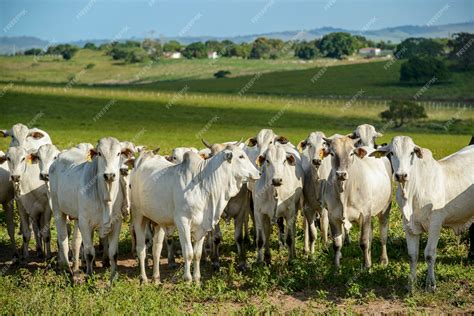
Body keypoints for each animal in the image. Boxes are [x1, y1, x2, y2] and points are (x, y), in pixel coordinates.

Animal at [49, 137, 133, 280]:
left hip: (77, 218)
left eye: (118, 153)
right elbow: (89, 253)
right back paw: (66, 268)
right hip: (57, 210)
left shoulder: (117, 223)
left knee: (76, 243)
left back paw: (76, 269)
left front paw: (113, 277)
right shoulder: (85, 223)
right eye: (99, 153)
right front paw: (89, 276)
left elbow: (113, 253)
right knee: (63, 239)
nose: (109, 175)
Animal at [131, 144, 262, 282]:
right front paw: (188, 278)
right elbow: (188, 253)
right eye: (241, 156)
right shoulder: (182, 222)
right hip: (138, 216)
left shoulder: (203, 225)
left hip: (159, 222)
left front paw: (197, 278)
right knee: (141, 248)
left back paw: (156, 278)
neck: (203, 184)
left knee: (156, 249)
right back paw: (144, 278)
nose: (259, 173)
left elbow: (197, 254)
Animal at [322, 136, 392, 270]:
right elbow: (337, 244)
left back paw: (384, 259)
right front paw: (336, 268)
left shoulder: (364, 214)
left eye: (351, 153)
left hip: (385, 208)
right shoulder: (333, 216)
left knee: (383, 235)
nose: (341, 174)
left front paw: (366, 267)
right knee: (371, 235)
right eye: (332, 153)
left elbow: (363, 242)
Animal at [370, 136, 474, 292]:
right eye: (392, 153)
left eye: (412, 153)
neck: (412, 192)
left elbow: (429, 254)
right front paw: (411, 284)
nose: (401, 175)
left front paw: (430, 284)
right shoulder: (408, 226)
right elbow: (412, 255)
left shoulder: (435, 224)